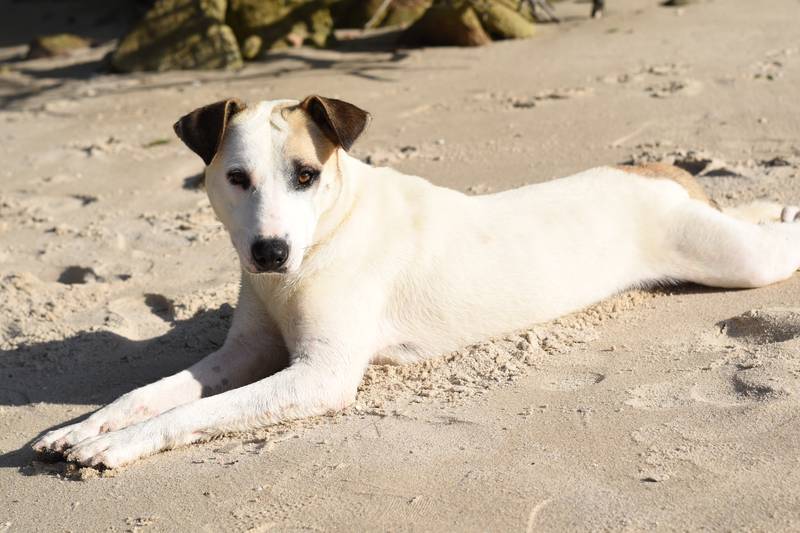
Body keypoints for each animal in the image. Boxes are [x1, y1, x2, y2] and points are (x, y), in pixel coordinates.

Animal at [34, 94, 800, 466]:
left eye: (305, 175)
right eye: (237, 178)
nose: (270, 251)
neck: (328, 234)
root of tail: (652, 170)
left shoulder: (318, 376)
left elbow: (191, 412)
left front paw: (112, 445)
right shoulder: (243, 353)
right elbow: (149, 392)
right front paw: (84, 426)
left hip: (734, 261)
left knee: (777, 242)